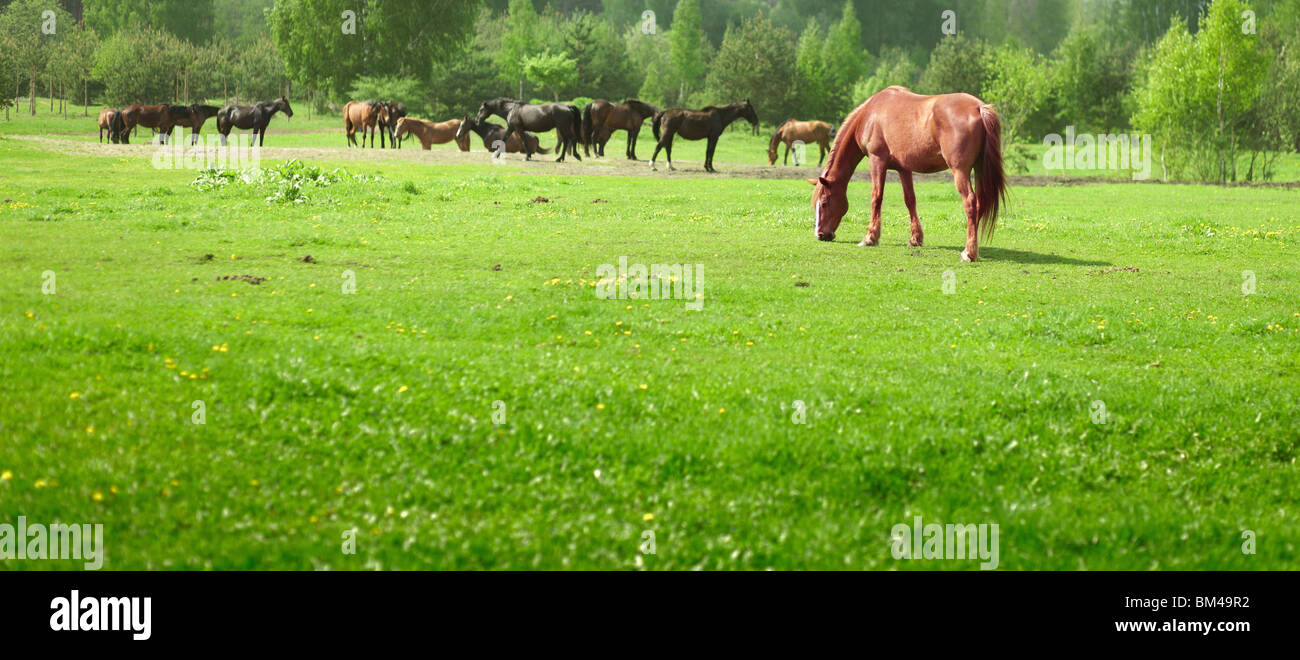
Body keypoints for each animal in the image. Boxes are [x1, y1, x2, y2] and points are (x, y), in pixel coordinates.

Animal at [809, 86, 1006, 262]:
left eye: (824, 203)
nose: (820, 234)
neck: (869, 115)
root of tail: (979, 107)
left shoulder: (877, 161)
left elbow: (876, 197)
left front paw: (870, 237)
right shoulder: (904, 168)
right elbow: (910, 200)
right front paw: (915, 239)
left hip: (960, 171)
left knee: (970, 202)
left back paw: (969, 252)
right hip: (979, 170)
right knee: (979, 203)